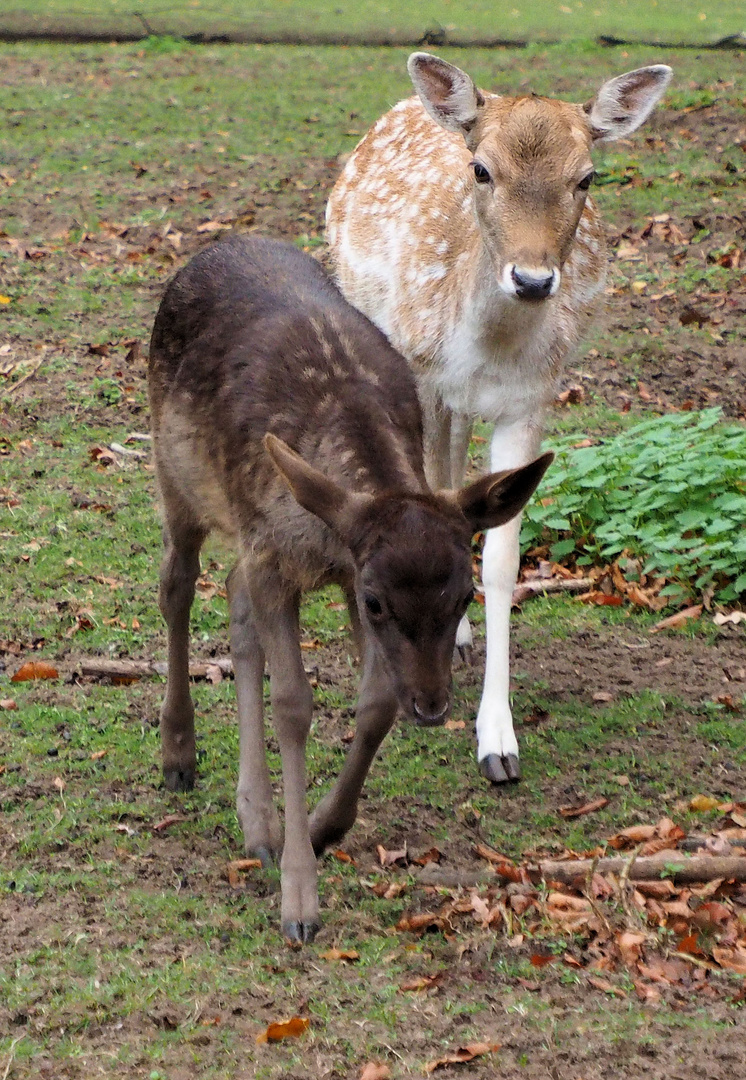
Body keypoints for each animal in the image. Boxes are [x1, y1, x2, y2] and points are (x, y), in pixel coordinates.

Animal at [326, 52, 669, 786]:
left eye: (586, 176)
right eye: (481, 170)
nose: (533, 280)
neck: (487, 348)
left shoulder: (531, 399)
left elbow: (503, 561)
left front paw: (498, 741)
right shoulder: (423, 377)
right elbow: (424, 500)